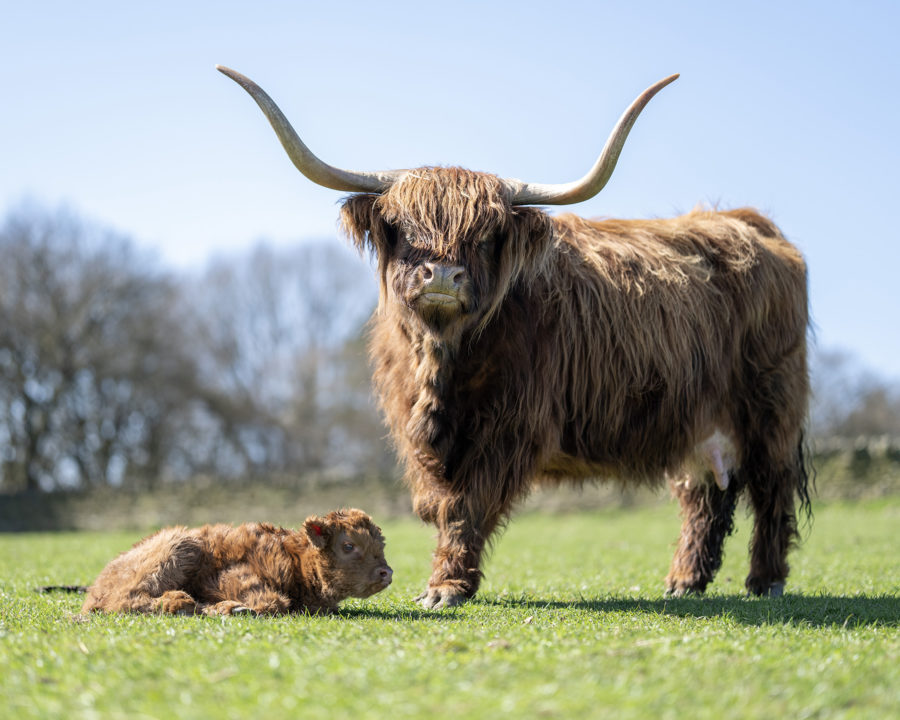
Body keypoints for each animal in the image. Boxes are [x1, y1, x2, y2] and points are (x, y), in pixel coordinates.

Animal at [217, 66, 812, 608]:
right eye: (403, 229)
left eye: (484, 237)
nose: (441, 274)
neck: (441, 361)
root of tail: (745, 221)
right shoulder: (415, 433)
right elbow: (440, 503)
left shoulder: (509, 425)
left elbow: (467, 504)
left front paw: (445, 588)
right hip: (697, 422)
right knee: (706, 494)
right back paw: (685, 581)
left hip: (769, 406)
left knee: (770, 487)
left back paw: (765, 580)